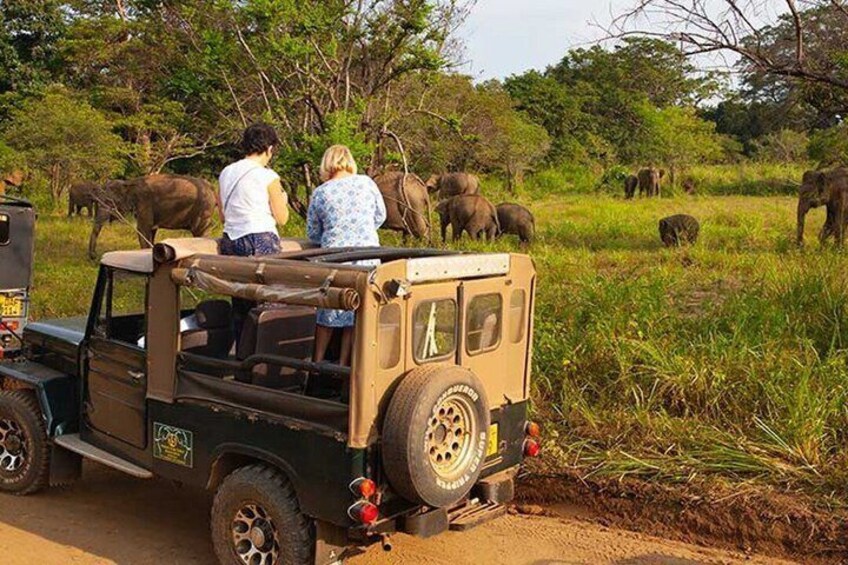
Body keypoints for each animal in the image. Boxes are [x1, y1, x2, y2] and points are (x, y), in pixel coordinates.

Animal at [88, 174, 217, 259]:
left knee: (199, 232)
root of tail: (212, 189)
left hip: (203, 210)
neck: (129, 183)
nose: (94, 256)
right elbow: (151, 230)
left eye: (109, 202)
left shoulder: (145, 202)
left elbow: (143, 229)